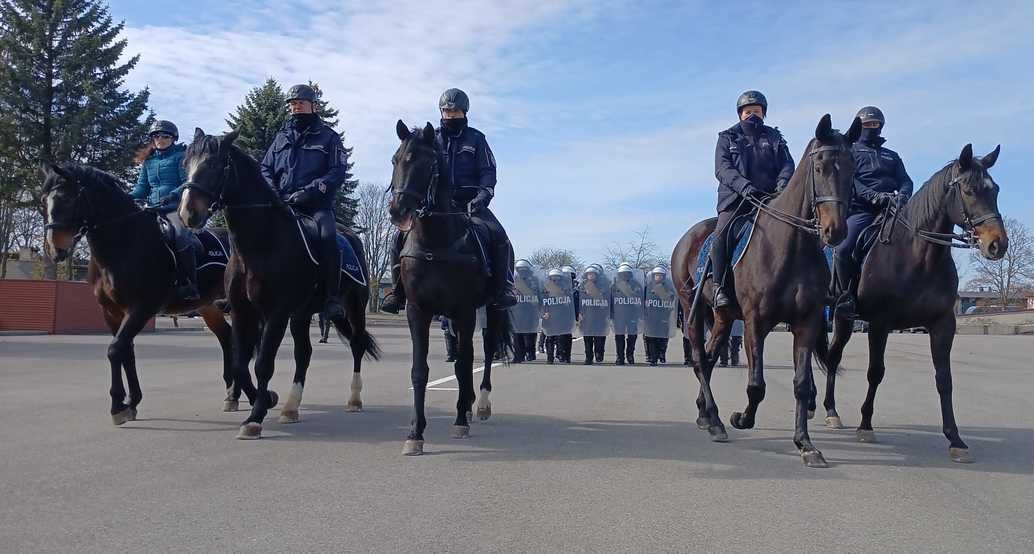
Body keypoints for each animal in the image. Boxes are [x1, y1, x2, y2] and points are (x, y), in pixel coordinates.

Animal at [41, 162, 254, 424]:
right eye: (44, 201)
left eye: (68, 198)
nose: (54, 248)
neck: (125, 243)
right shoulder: (112, 312)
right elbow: (125, 352)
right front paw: (131, 402)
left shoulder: (141, 308)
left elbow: (115, 350)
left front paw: (117, 406)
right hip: (209, 306)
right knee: (226, 338)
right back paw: (232, 395)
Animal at [178, 128, 380, 440]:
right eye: (186, 162)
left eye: (213, 164)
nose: (188, 213)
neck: (262, 244)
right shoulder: (243, 311)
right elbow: (240, 363)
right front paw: (264, 400)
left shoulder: (276, 313)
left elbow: (263, 364)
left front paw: (255, 418)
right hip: (302, 315)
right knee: (304, 354)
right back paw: (290, 408)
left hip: (353, 306)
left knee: (357, 346)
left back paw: (354, 399)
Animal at [389, 120, 514, 456]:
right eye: (396, 159)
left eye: (425, 163)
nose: (398, 210)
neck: (437, 242)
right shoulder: (417, 311)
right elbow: (420, 371)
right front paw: (415, 433)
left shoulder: (465, 310)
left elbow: (464, 364)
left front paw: (459, 421)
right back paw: (468, 404)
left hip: (491, 309)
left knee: (484, 352)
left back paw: (479, 405)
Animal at [671, 114, 861, 468]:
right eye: (820, 167)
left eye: (853, 168)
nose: (836, 230)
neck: (790, 245)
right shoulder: (755, 323)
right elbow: (756, 385)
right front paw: (741, 418)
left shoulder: (806, 322)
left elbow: (802, 384)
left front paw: (806, 444)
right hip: (692, 308)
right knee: (700, 359)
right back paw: (717, 421)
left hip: (722, 316)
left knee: (710, 357)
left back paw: (707, 415)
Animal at [816, 144, 1007, 464]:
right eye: (969, 191)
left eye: (995, 190)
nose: (998, 244)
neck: (918, 257)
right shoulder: (880, 324)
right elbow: (875, 372)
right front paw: (865, 425)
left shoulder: (943, 324)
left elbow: (945, 379)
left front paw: (955, 439)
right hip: (842, 318)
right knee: (833, 358)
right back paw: (830, 411)